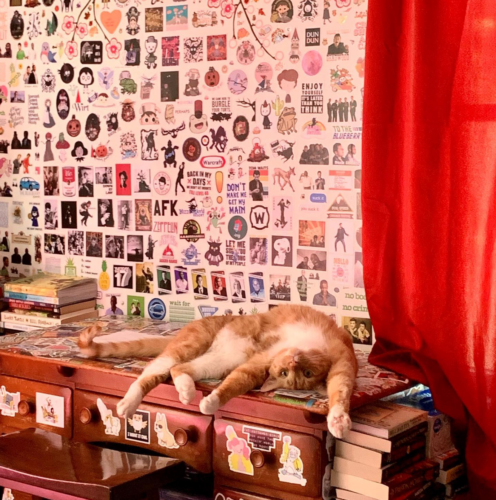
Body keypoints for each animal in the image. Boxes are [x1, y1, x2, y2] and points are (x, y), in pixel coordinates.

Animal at [78, 302, 356, 436]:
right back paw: (128, 403)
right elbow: (342, 390)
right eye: (286, 373)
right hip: (193, 343)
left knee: (180, 369)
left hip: (221, 360)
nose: (294, 361)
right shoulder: (340, 360)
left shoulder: (255, 366)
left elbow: (236, 383)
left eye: (305, 374)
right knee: (152, 371)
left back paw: (187, 391)